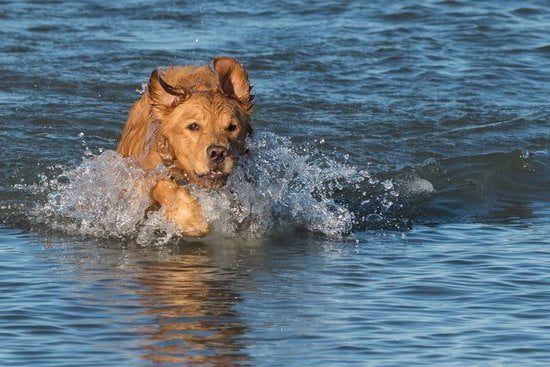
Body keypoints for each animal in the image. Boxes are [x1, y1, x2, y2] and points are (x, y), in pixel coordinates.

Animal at [117, 56, 256, 237]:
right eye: (193, 126)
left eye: (232, 127)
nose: (218, 153)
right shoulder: (139, 176)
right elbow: (164, 186)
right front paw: (193, 220)